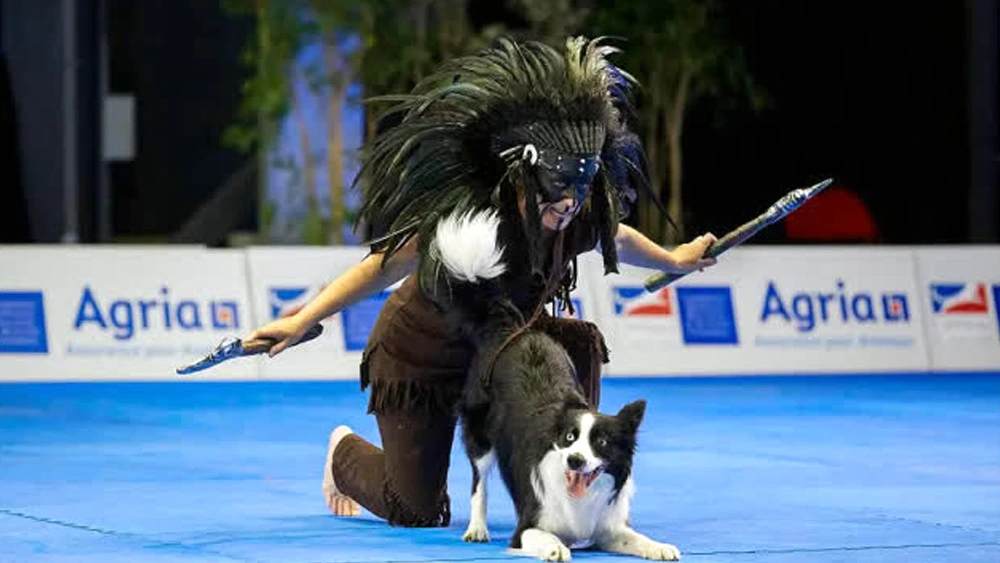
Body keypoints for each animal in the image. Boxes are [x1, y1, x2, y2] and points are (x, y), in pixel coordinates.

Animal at [426, 209, 684, 560]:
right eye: (569, 438)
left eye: (602, 442)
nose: (575, 460)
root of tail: (511, 330)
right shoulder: (528, 525)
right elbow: (541, 535)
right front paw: (555, 548)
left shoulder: (607, 529)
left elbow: (635, 537)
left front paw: (659, 547)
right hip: (479, 431)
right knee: (479, 481)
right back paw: (477, 528)